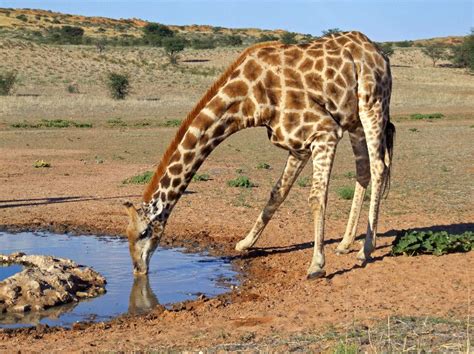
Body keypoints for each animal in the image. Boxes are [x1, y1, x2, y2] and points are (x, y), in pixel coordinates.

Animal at [124, 30, 394, 280]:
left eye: (144, 232)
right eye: (126, 234)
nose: (138, 269)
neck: (248, 102)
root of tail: (380, 53)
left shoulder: (324, 131)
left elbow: (316, 198)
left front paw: (316, 266)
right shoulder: (298, 145)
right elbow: (277, 193)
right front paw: (245, 243)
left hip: (372, 104)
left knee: (378, 167)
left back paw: (365, 250)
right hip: (353, 120)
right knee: (363, 170)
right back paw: (346, 244)